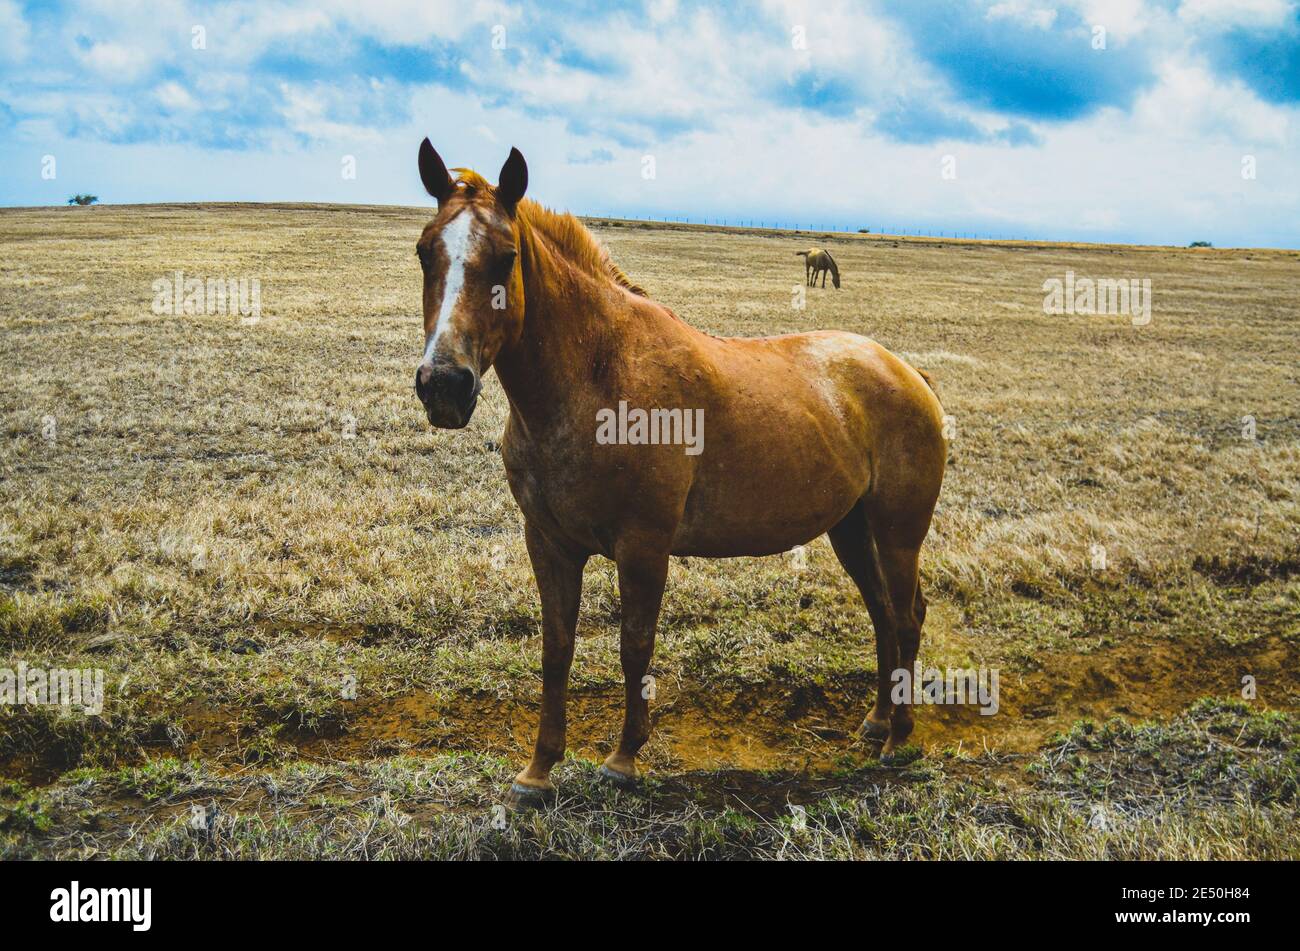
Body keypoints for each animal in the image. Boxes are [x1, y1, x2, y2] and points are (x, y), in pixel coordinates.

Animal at [413, 140, 946, 805]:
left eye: (505, 258)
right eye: (425, 251)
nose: (444, 385)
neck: (599, 378)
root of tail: (905, 372)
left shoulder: (644, 546)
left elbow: (634, 646)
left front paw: (623, 758)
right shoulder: (550, 543)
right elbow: (556, 649)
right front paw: (539, 770)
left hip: (898, 533)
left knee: (906, 614)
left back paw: (898, 736)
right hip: (850, 528)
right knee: (881, 612)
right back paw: (875, 721)